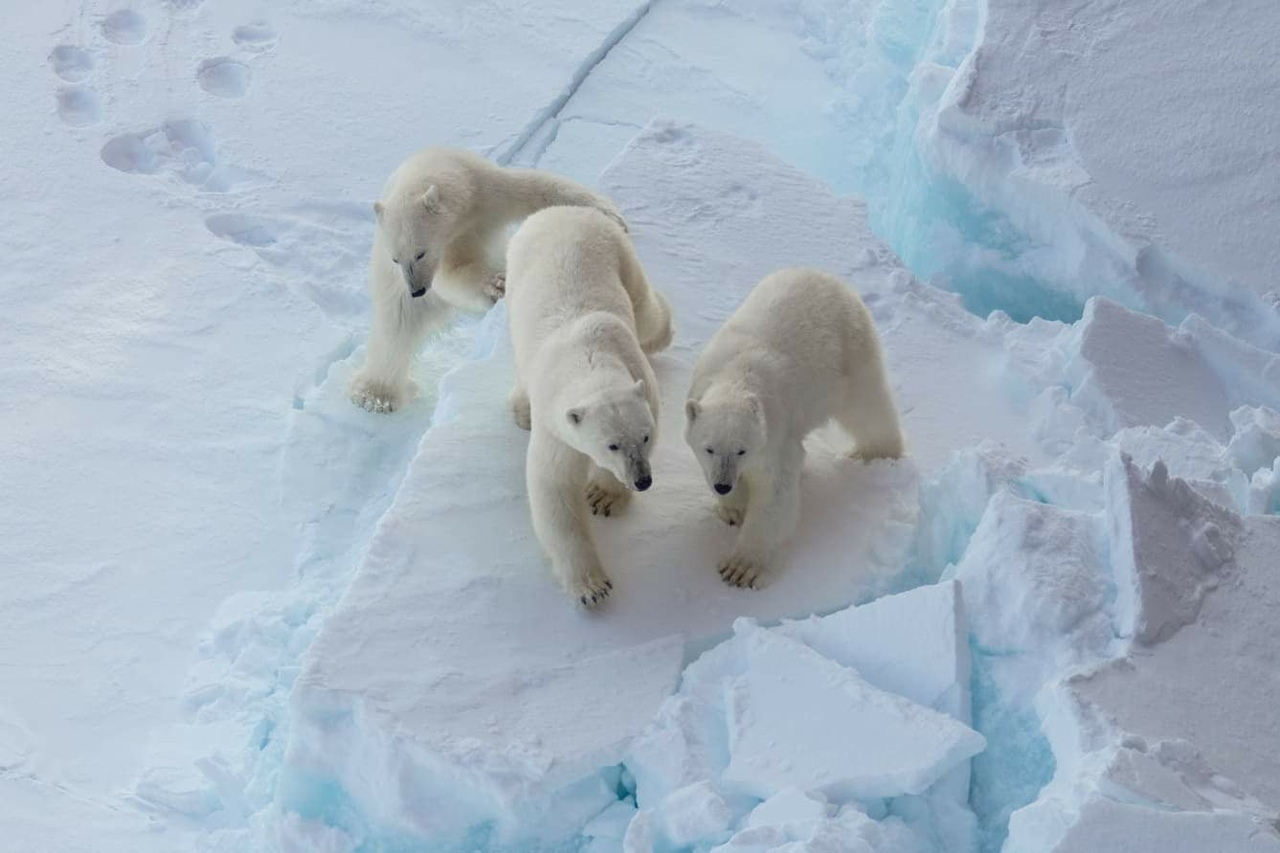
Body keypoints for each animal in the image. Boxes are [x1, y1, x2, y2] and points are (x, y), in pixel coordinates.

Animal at [350, 146, 629, 412]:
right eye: (396, 259)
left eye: (420, 253)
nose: (417, 289)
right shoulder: (445, 248)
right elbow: (454, 275)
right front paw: (497, 285)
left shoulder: (481, 190)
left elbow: (532, 188)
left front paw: (611, 216)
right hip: (393, 290)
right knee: (394, 329)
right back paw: (375, 395)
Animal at [504, 204, 675, 604]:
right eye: (611, 444)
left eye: (645, 437)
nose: (642, 480)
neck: (590, 357)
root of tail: (562, 210)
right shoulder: (556, 428)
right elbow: (554, 489)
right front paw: (592, 587)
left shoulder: (644, 388)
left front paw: (604, 497)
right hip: (515, 269)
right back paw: (520, 408)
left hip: (621, 256)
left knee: (646, 312)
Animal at [686, 268, 906, 589]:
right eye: (709, 448)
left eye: (742, 450)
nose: (723, 485)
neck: (735, 376)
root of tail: (826, 276)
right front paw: (734, 508)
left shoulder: (774, 437)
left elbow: (774, 493)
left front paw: (741, 567)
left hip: (850, 349)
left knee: (866, 406)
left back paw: (876, 452)